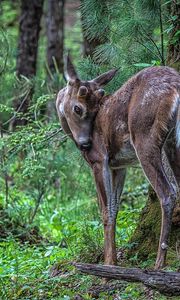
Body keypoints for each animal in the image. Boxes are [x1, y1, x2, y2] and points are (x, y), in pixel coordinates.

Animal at [56, 54, 180, 270]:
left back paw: (159, 263)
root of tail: (175, 87)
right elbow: (115, 208)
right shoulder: (119, 166)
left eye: (79, 108)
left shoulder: (100, 160)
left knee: (168, 193)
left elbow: (105, 211)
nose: (86, 144)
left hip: (145, 138)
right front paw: (113, 260)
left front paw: (107, 264)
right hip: (174, 141)